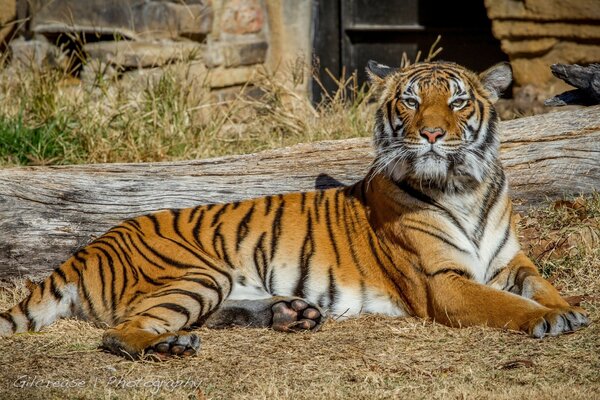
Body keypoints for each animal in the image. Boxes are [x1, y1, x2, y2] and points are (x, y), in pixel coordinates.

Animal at [0, 61, 592, 360]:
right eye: (410, 100)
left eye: (457, 101)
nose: (429, 134)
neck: (462, 185)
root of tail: (86, 249)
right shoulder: (442, 281)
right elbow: (506, 305)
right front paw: (548, 319)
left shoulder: (513, 262)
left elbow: (543, 286)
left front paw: (571, 307)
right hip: (194, 274)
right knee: (121, 333)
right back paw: (172, 345)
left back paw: (291, 314)